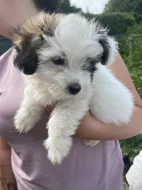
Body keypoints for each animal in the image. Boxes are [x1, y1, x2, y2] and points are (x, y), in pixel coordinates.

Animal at [12, 12, 134, 165]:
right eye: (58, 60)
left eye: (88, 64)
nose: (76, 88)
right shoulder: (39, 85)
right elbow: (32, 96)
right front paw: (24, 117)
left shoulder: (79, 97)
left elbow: (60, 119)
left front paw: (57, 147)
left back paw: (92, 140)